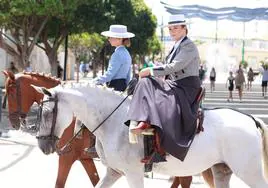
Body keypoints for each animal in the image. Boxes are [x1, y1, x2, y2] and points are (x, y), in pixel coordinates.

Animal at [32, 85, 268, 188]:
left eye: (47, 113)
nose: (43, 146)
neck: (114, 120)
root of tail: (251, 119)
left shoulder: (133, 173)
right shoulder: (114, 172)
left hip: (249, 172)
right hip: (221, 170)